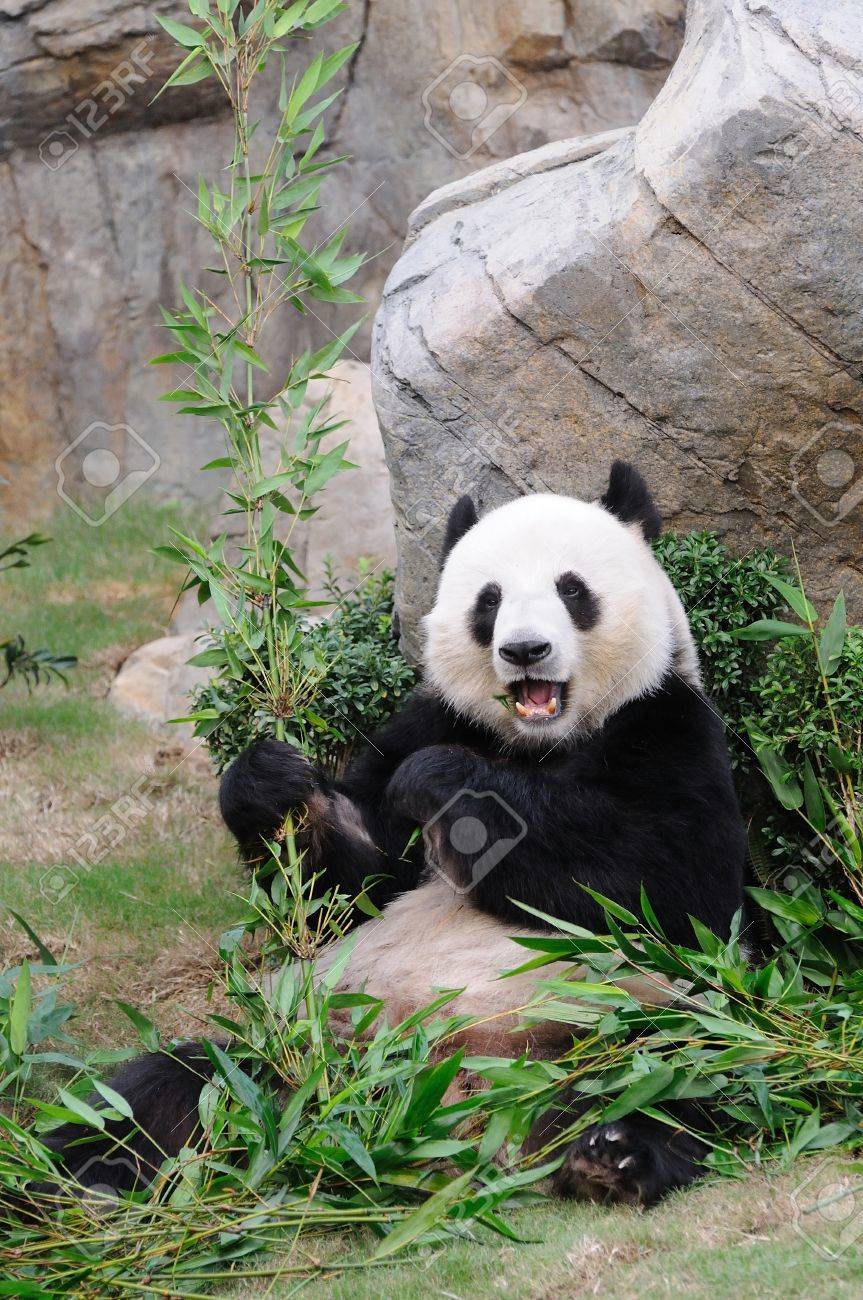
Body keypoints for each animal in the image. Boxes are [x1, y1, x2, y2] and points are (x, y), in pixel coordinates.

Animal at [46, 462, 745, 1208]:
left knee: (677, 1073)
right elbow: (353, 884)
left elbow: (662, 884)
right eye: (489, 602)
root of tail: (438, 1107)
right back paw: (71, 1181)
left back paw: (610, 1154)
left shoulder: (666, 723)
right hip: (284, 1049)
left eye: (571, 589)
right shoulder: (433, 718)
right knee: (155, 1095)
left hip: (621, 1018)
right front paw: (274, 781)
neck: (535, 745)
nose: (524, 650)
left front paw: (441, 783)